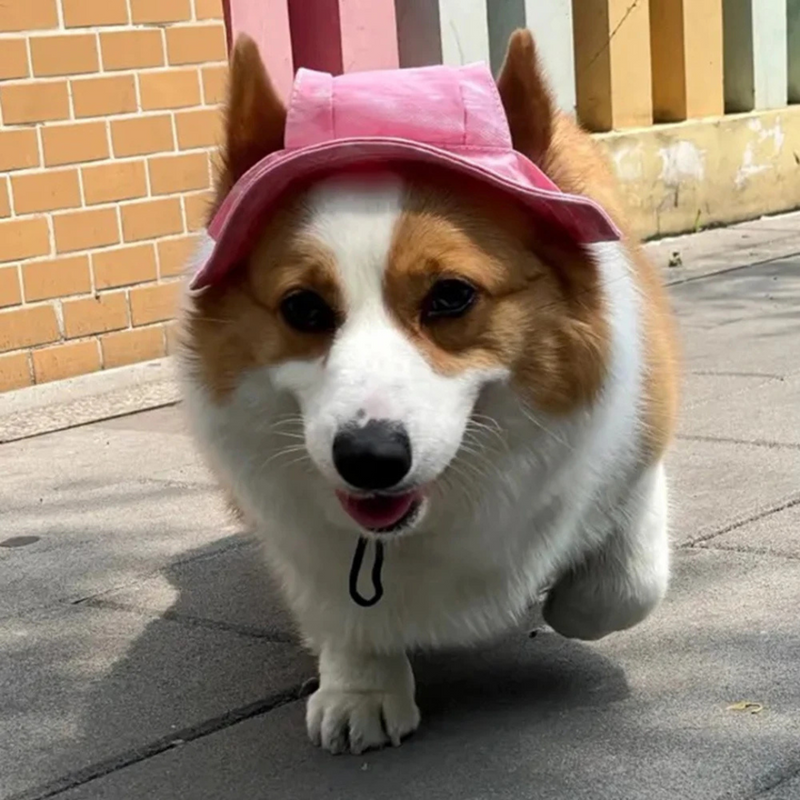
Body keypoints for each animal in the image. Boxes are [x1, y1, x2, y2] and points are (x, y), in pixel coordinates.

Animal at [178, 31, 680, 756]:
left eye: (451, 296)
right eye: (302, 308)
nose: (369, 459)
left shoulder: (636, 458)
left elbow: (622, 589)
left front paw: (560, 600)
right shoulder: (298, 538)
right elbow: (341, 613)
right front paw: (362, 691)